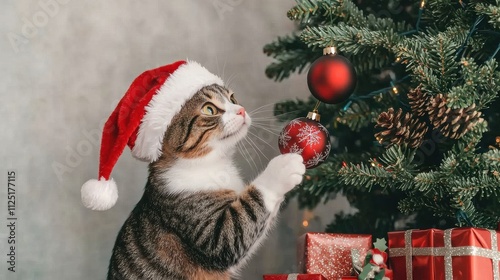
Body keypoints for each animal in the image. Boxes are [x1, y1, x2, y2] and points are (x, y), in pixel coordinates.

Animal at [107, 83, 306, 280]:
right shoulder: (208, 230)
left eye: (232, 98)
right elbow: (240, 226)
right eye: (209, 109)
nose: (241, 110)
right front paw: (283, 167)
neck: (211, 163)